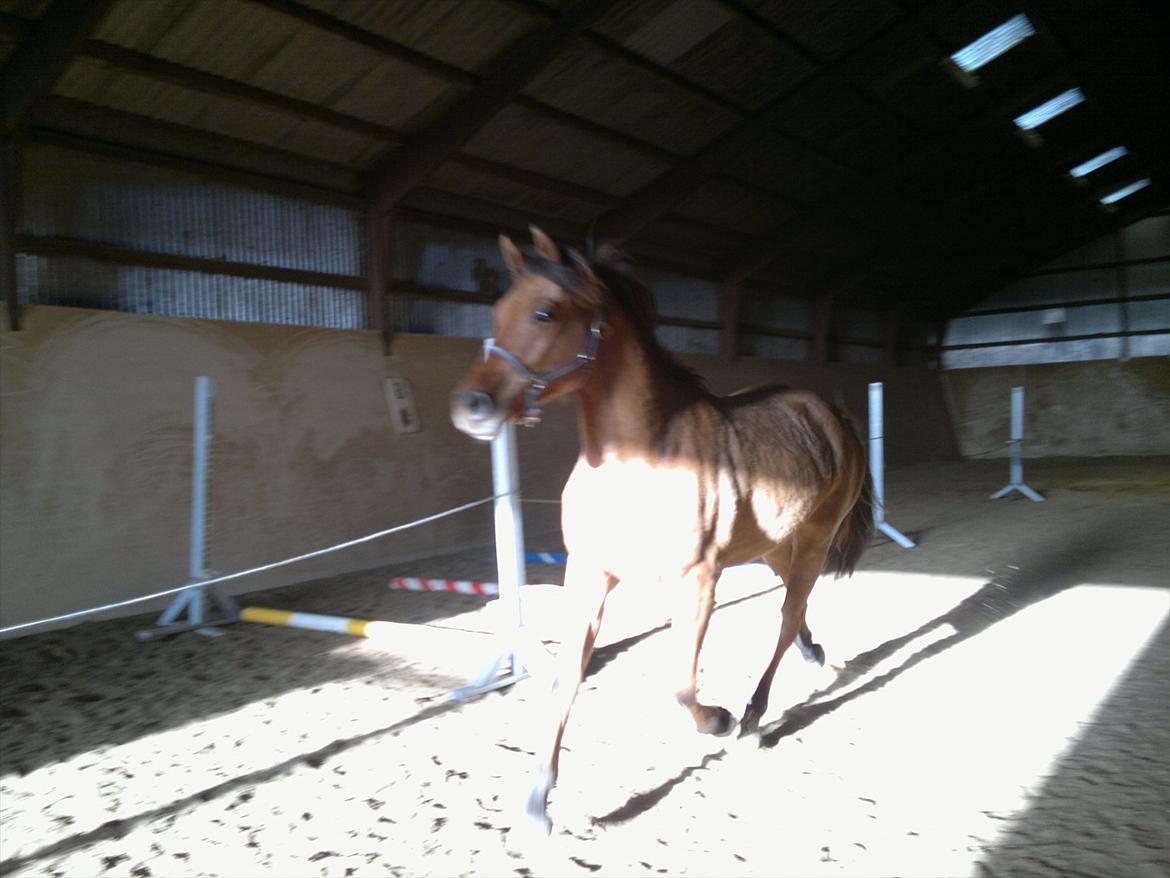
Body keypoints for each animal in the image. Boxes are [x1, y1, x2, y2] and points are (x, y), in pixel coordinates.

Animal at [450, 227, 873, 833]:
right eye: (496, 310)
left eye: (544, 311)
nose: (471, 407)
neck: (638, 461)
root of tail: (831, 415)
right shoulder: (588, 575)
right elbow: (567, 677)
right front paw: (536, 799)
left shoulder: (698, 581)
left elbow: (680, 684)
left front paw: (718, 720)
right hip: (773, 546)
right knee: (795, 611)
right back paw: (812, 658)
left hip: (815, 538)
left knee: (788, 615)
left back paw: (752, 717)